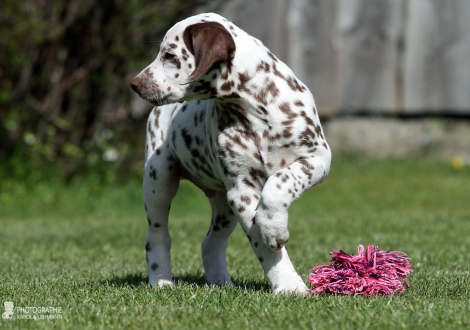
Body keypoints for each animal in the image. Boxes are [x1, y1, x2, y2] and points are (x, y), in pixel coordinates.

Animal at [130, 12, 332, 294]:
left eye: (169, 55)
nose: (134, 84)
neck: (255, 110)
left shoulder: (317, 158)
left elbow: (280, 182)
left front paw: (273, 226)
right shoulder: (242, 191)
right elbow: (266, 250)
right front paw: (289, 284)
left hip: (223, 207)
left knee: (210, 243)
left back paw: (220, 282)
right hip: (158, 180)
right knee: (157, 236)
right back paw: (161, 281)